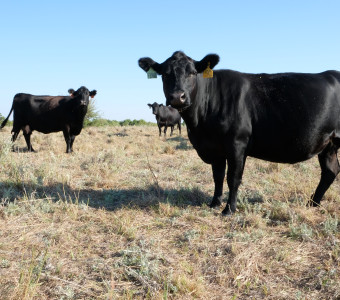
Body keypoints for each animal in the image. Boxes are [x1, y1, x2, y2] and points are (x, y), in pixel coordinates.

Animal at [138, 52, 340, 216]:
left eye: (192, 72)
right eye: (165, 74)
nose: (177, 97)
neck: (199, 126)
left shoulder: (237, 144)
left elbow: (233, 178)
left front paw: (229, 209)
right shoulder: (215, 148)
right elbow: (218, 176)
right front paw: (214, 203)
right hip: (328, 145)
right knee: (330, 171)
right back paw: (312, 203)